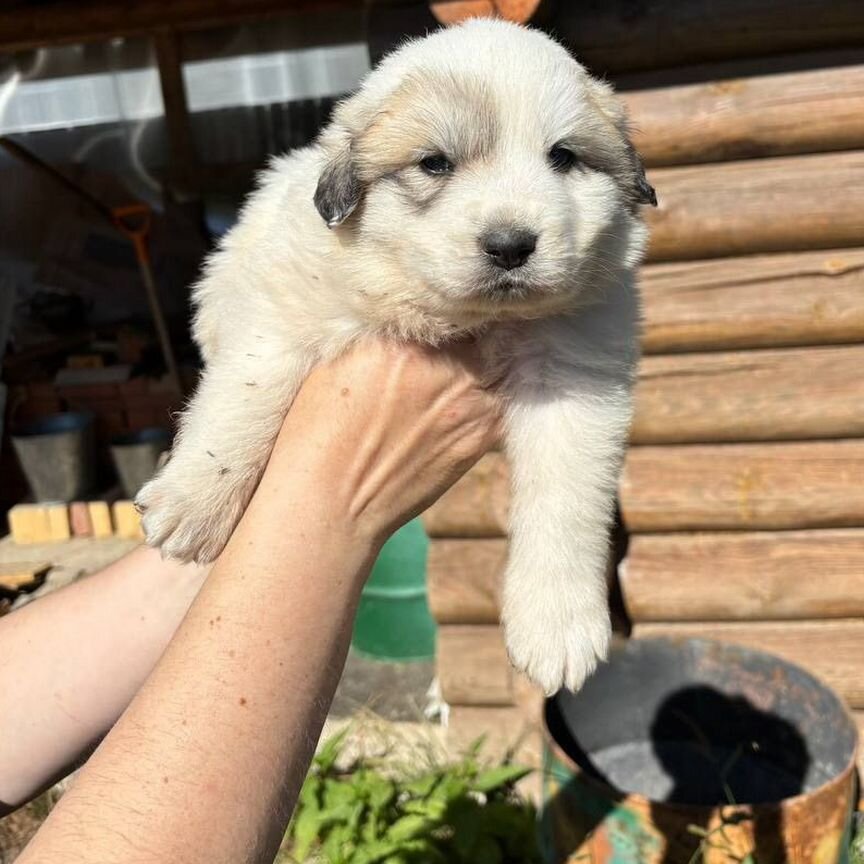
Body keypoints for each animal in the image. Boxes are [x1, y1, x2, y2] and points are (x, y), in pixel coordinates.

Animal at [138, 18, 656, 696]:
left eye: (564, 157)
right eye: (434, 163)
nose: (510, 245)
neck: (458, 317)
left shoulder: (574, 379)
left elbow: (566, 502)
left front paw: (557, 627)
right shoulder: (283, 307)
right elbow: (245, 398)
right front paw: (195, 502)